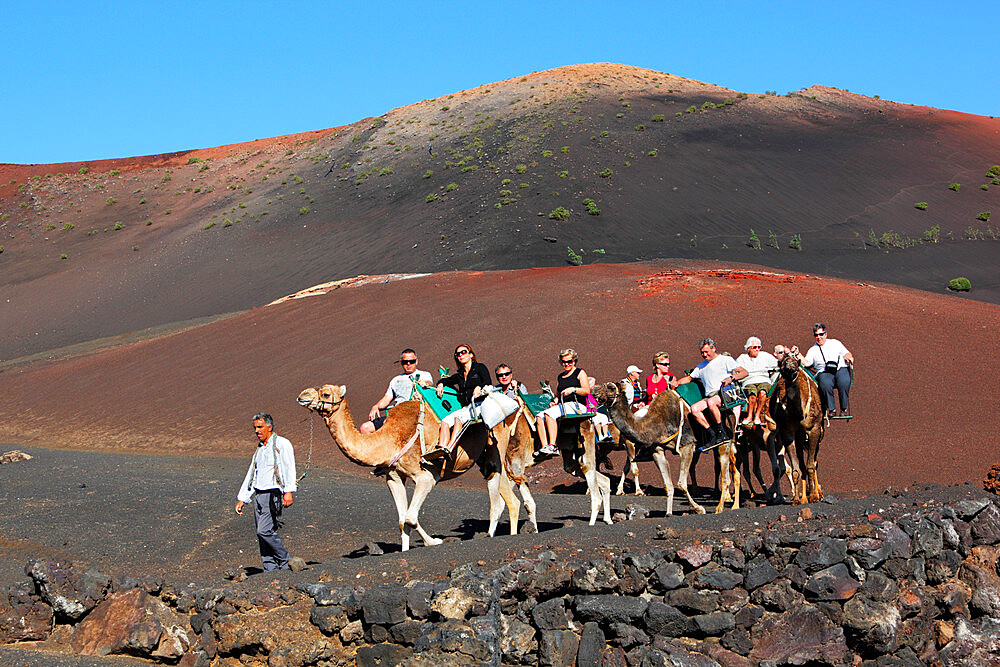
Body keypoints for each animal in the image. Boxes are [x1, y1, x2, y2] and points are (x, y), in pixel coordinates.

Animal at [296, 384, 524, 552]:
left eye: (326, 393)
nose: (301, 395)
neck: (389, 439)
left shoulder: (427, 477)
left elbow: (410, 517)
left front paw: (434, 542)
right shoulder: (393, 478)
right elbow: (401, 520)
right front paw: (405, 550)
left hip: (497, 440)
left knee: (499, 497)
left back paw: (493, 535)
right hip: (483, 456)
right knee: (504, 494)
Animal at [768, 352, 824, 504]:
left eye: (795, 363)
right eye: (783, 364)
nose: (789, 369)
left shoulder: (814, 429)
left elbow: (811, 466)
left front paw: (814, 497)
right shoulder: (788, 433)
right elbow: (796, 469)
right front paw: (797, 500)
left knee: (814, 461)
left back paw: (817, 493)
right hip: (798, 437)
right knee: (801, 462)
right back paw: (803, 497)